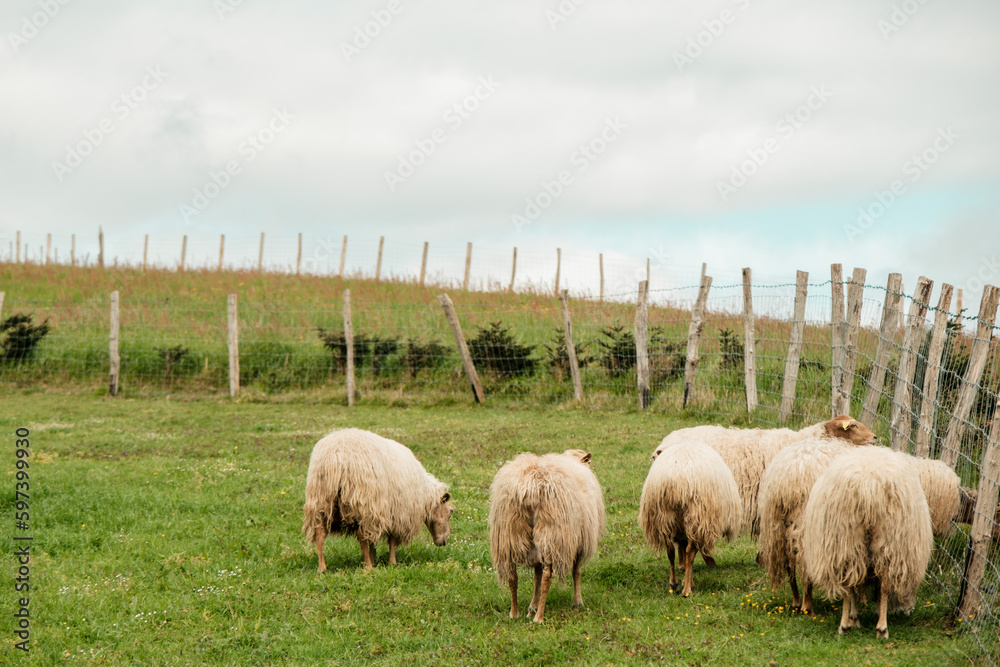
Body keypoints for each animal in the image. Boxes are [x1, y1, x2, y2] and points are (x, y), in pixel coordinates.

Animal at [302, 428, 454, 572]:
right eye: (450, 512)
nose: (445, 541)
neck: (424, 496)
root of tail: (335, 457)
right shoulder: (396, 513)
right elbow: (391, 539)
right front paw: (391, 562)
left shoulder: (381, 511)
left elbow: (373, 539)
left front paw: (374, 558)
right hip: (364, 501)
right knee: (361, 535)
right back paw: (368, 567)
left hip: (321, 500)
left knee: (320, 534)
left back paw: (322, 568)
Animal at [489, 449, 605, 623]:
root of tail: (529, 488)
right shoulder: (578, 540)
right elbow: (576, 571)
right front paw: (578, 602)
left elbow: (536, 575)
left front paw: (532, 605)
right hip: (551, 535)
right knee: (546, 578)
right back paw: (539, 618)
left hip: (509, 535)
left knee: (513, 576)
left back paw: (514, 613)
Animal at [638, 440, 741, 597]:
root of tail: (677, 482)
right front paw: (689, 580)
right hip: (697, 515)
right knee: (690, 551)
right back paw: (687, 590)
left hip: (663, 516)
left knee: (670, 549)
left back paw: (673, 583)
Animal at [802, 446, 933, 639]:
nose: (908, 610)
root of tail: (869, 486)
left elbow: (857, 586)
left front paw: (854, 617)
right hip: (889, 538)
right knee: (884, 583)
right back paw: (882, 628)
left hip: (847, 539)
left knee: (850, 583)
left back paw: (845, 625)